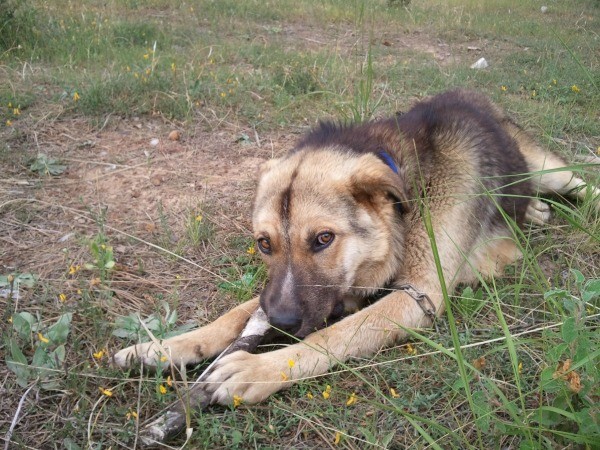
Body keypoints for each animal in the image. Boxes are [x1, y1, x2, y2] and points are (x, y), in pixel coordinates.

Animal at [112, 89, 596, 406]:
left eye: (323, 239)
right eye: (264, 243)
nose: (281, 324)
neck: (406, 198)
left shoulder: (417, 296)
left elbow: (332, 335)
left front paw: (261, 368)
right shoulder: (304, 293)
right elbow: (235, 314)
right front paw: (165, 347)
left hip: (556, 173)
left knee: (582, 185)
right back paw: (536, 212)